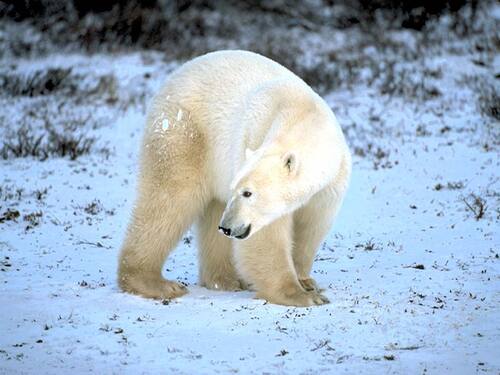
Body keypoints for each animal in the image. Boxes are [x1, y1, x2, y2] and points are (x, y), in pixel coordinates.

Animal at [118, 50, 352, 306]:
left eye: (247, 192)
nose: (227, 227)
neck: (302, 113)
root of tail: (175, 75)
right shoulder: (254, 138)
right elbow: (267, 236)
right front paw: (301, 295)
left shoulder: (330, 184)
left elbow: (311, 225)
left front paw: (306, 282)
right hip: (186, 133)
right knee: (169, 200)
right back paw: (156, 283)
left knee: (210, 210)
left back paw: (226, 279)